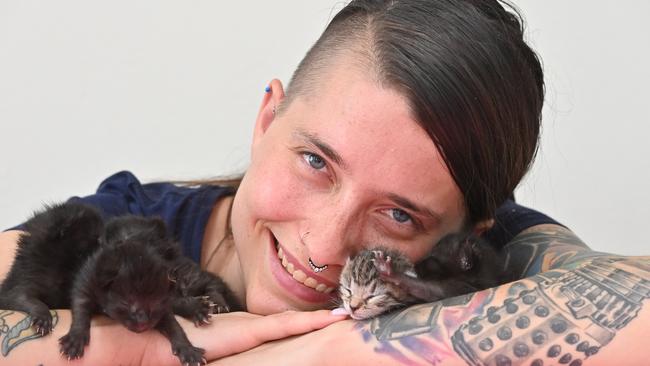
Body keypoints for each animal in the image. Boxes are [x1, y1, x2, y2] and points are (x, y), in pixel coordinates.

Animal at [336, 233, 508, 318]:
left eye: (430, 261)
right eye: (348, 290)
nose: (414, 266)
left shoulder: (459, 288)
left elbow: (426, 289)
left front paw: (390, 271)